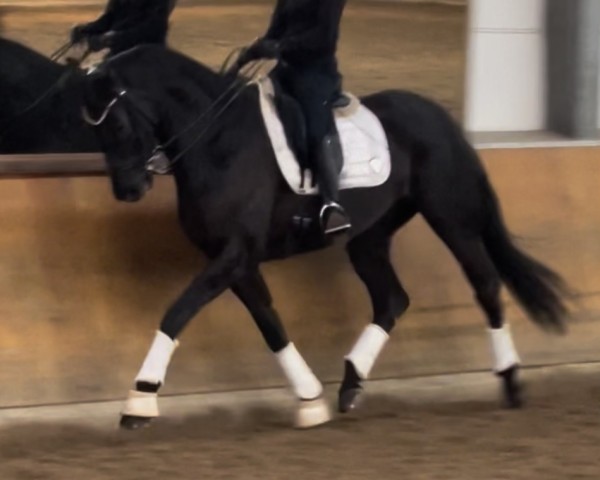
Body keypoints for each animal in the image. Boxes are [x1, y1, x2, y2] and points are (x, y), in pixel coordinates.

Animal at [82, 44, 568, 428]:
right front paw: (310, 400)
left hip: (451, 218)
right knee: (392, 299)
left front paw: (139, 400)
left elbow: (177, 313)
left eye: (117, 125)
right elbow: (269, 323)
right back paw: (351, 383)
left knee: (485, 282)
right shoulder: (237, 260)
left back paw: (510, 381)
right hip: (370, 236)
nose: (129, 190)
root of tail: (438, 116)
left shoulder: (233, 254)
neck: (218, 140)